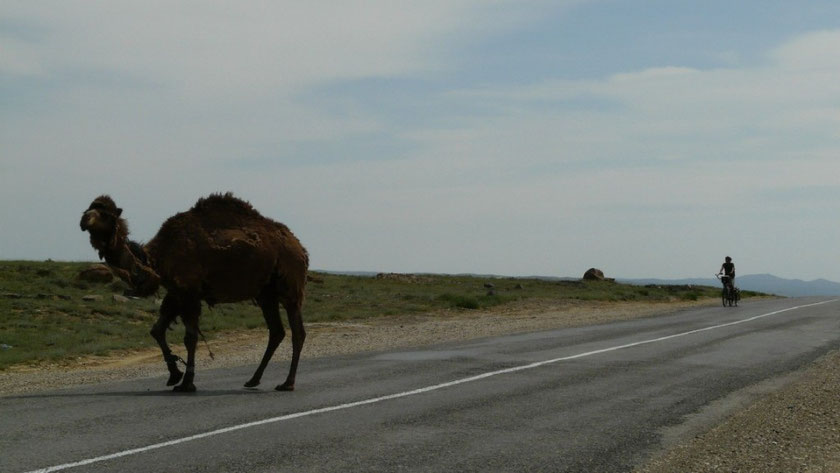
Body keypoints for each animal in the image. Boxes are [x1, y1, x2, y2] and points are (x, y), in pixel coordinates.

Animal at [78, 192, 308, 390]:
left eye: (105, 214)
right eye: (88, 208)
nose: (83, 220)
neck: (156, 260)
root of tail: (301, 248)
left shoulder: (189, 291)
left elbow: (190, 338)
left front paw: (187, 383)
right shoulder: (176, 292)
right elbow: (157, 330)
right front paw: (174, 374)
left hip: (290, 285)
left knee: (297, 332)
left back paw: (287, 383)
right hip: (265, 293)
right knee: (277, 331)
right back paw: (253, 380)